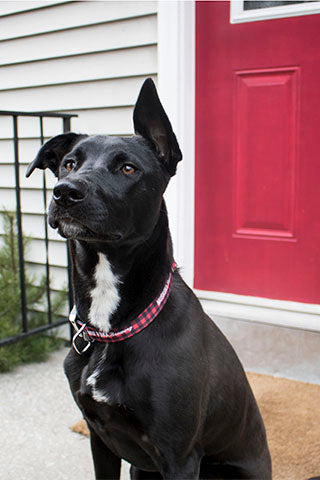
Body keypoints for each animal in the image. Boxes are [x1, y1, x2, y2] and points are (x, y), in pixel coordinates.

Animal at [26, 79, 270, 480]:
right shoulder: (100, 438)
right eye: (68, 164)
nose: (65, 192)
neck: (111, 329)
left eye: (128, 168)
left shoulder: (179, 457)